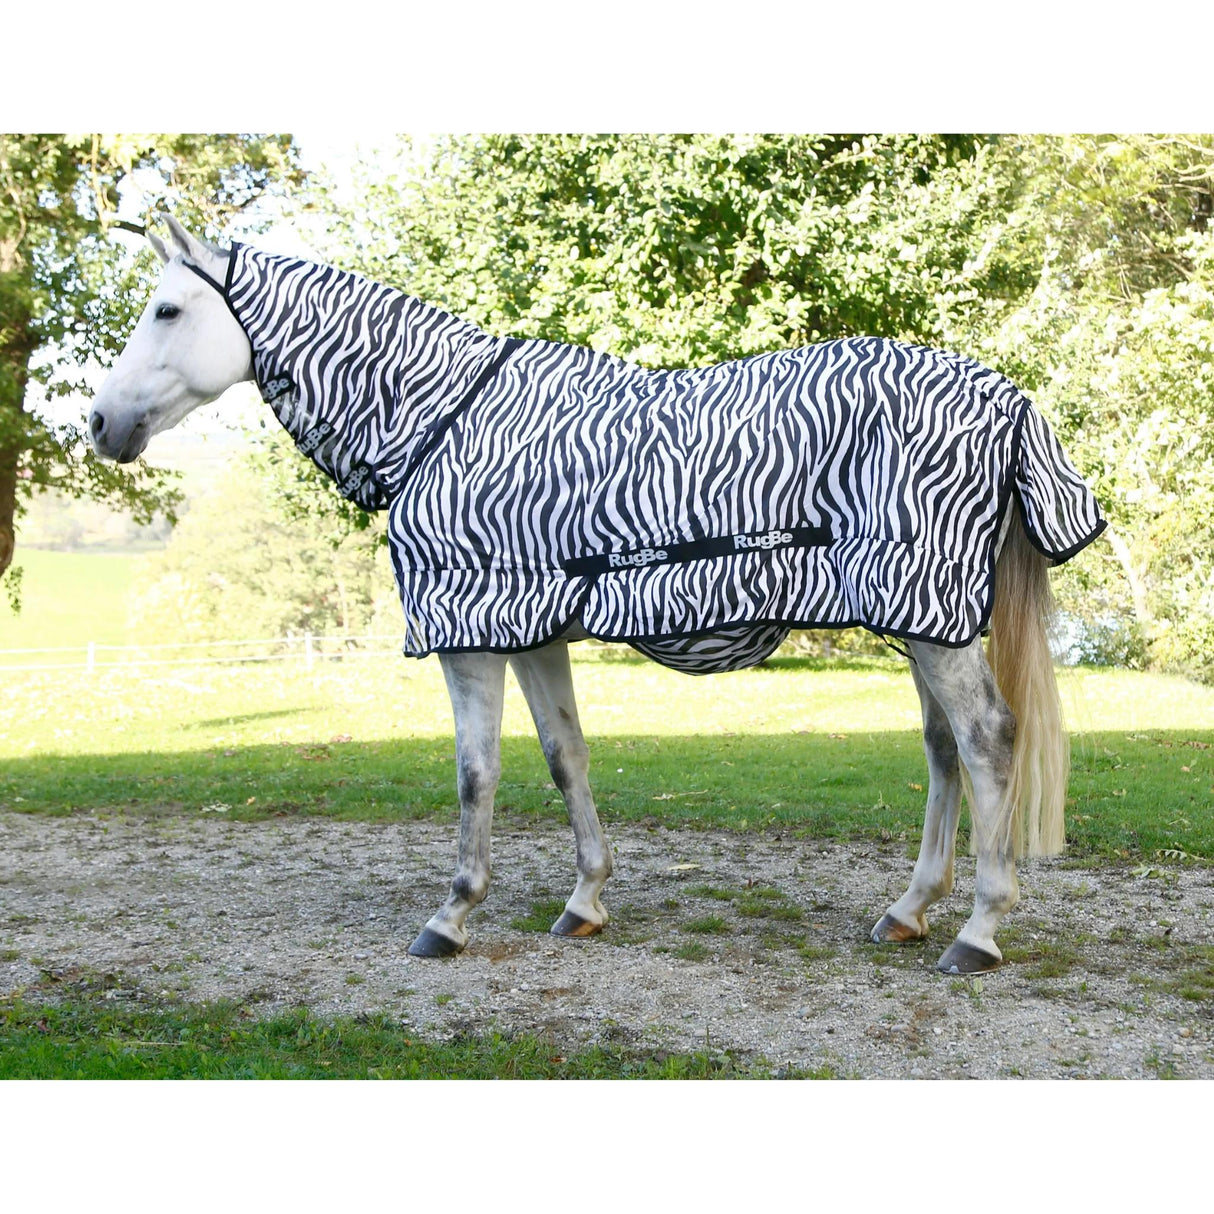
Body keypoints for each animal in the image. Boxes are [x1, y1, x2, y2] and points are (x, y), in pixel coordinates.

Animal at [89, 216, 1106, 975]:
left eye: (168, 307)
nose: (100, 423)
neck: (441, 420)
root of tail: (1007, 398)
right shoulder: (532, 628)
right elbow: (564, 756)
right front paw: (585, 901)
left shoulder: (470, 634)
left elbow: (476, 774)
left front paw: (451, 917)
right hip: (918, 615)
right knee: (943, 748)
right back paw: (910, 909)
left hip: (931, 620)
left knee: (987, 740)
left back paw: (978, 931)